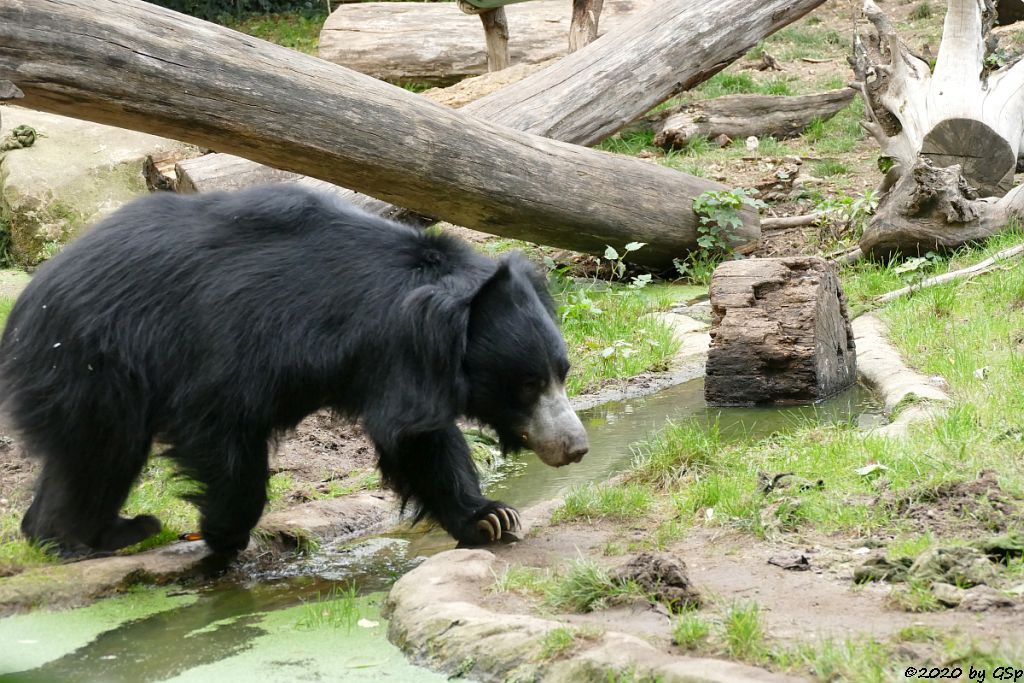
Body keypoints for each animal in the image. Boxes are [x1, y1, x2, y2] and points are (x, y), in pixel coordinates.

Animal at [0, 184, 589, 565]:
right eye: (528, 384)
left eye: (560, 372)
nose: (576, 446)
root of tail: (29, 298)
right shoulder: (245, 340)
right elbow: (220, 423)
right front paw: (223, 536)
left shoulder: (399, 368)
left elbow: (420, 442)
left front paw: (489, 518)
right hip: (93, 362)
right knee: (99, 452)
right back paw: (72, 540)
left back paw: (105, 534)